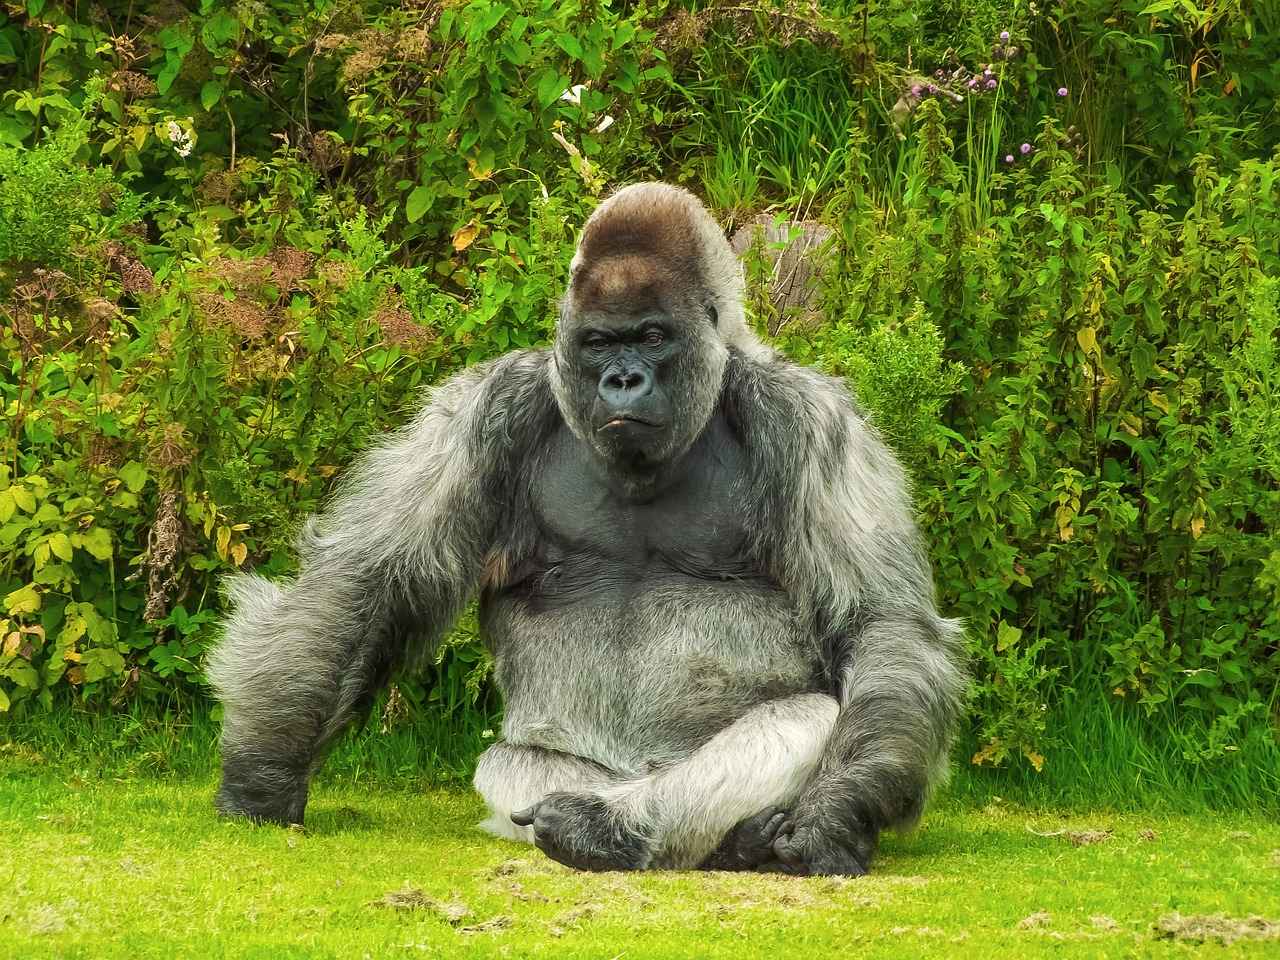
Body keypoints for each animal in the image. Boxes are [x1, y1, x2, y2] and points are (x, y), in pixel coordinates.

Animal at [206, 182, 966, 876]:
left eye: (652, 337)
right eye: (600, 342)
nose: (623, 381)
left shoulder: (813, 421)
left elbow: (879, 626)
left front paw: (837, 810)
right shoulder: (482, 411)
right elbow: (366, 583)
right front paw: (263, 773)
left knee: (809, 718)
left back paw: (620, 828)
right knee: (511, 763)